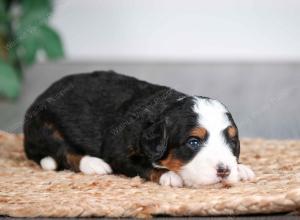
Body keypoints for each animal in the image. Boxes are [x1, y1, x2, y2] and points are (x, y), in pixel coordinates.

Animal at [23, 70, 254, 187]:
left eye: (232, 141)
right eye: (193, 142)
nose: (224, 171)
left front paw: (241, 168)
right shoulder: (118, 151)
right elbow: (142, 166)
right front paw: (169, 176)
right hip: (46, 126)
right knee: (65, 153)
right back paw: (94, 164)